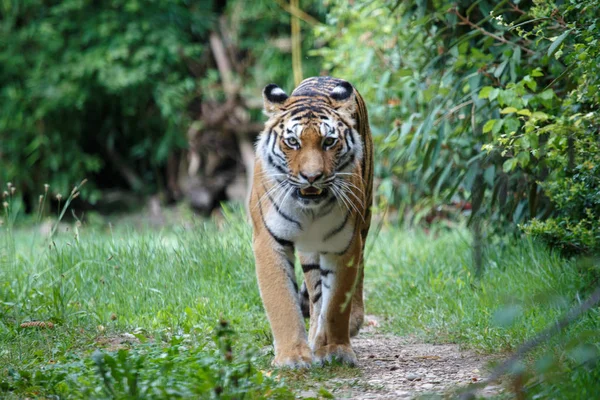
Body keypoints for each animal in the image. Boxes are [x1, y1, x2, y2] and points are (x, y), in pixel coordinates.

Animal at [247, 76, 370, 368]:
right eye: (292, 142)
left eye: (329, 142)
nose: (312, 177)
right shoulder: (268, 241)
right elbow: (282, 301)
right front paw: (292, 356)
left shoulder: (344, 244)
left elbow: (337, 302)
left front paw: (336, 349)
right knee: (314, 296)